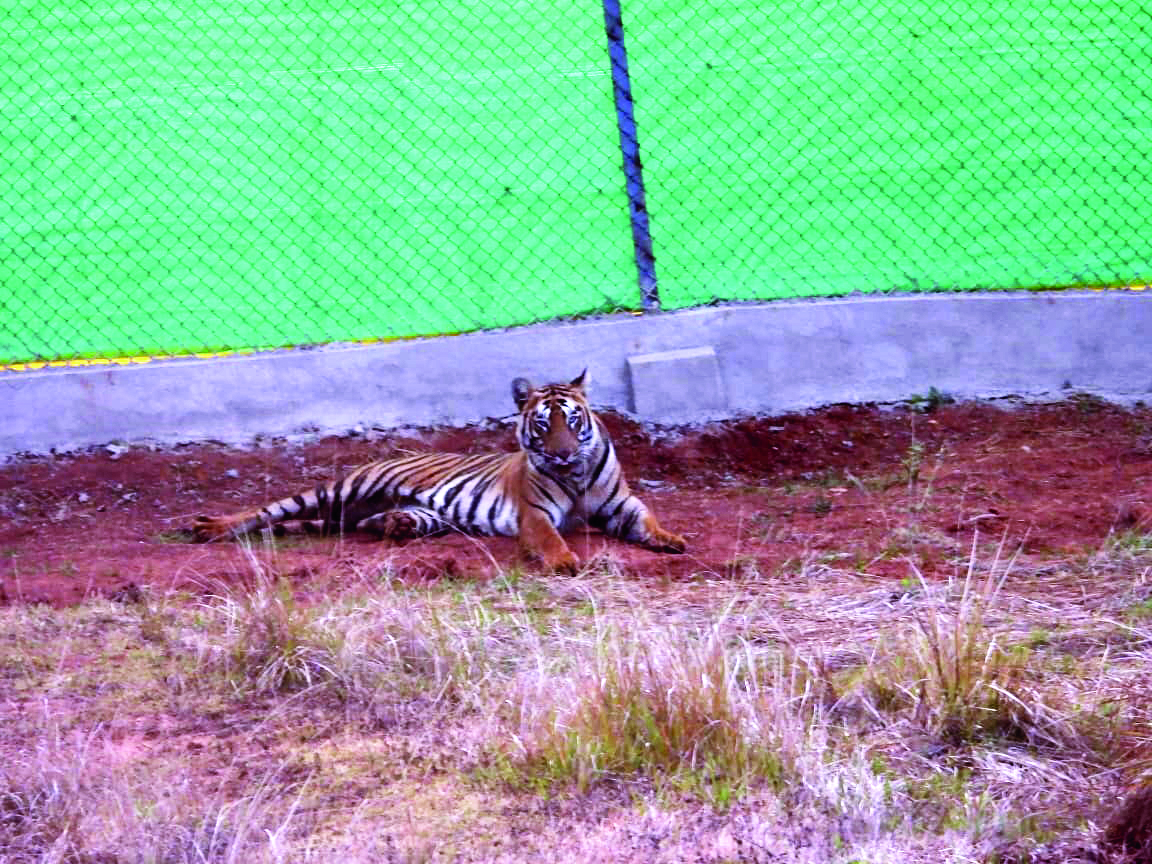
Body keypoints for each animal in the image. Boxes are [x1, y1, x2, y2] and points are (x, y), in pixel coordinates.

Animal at [191, 369, 686, 573]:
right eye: (543, 424)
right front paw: (565, 561)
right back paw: (208, 527)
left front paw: (672, 539)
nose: (562, 455)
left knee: (364, 523)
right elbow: (551, 540)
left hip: (419, 514)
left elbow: (649, 520)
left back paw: (393, 524)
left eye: (572, 419)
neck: (577, 476)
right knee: (267, 511)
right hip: (338, 488)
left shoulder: (622, 505)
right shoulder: (536, 514)